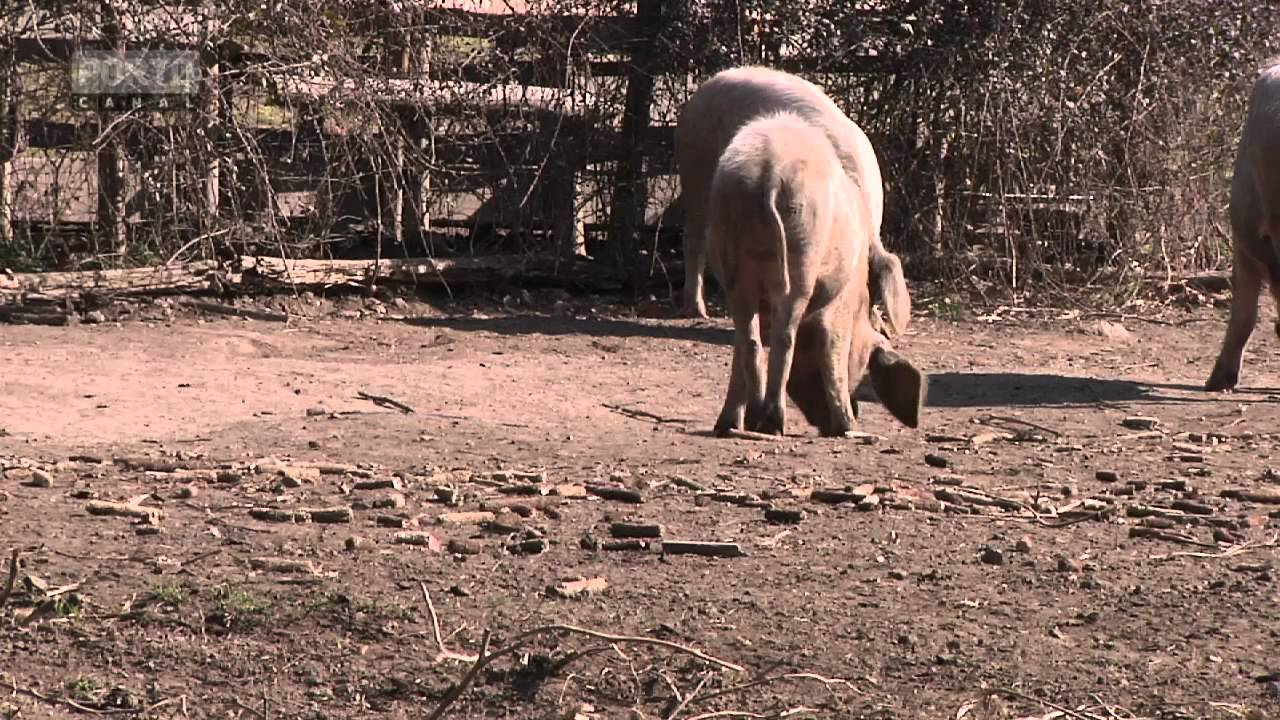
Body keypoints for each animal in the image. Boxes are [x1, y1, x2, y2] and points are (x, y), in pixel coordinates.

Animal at [676, 65, 911, 342]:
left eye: (876, 295)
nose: (879, 335)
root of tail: (704, 88)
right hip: (695, 177)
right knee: (693, 239)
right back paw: (697, 312)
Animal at [707, 110, 925, 438]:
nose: (825, 425)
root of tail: (766, 174)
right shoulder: (844, 301)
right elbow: (834, 350)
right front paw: (848, 426)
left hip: (732, 263)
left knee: (750, 339)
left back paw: (738, 424)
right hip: (802, 256)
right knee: (784, 338)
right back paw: (772, 423)